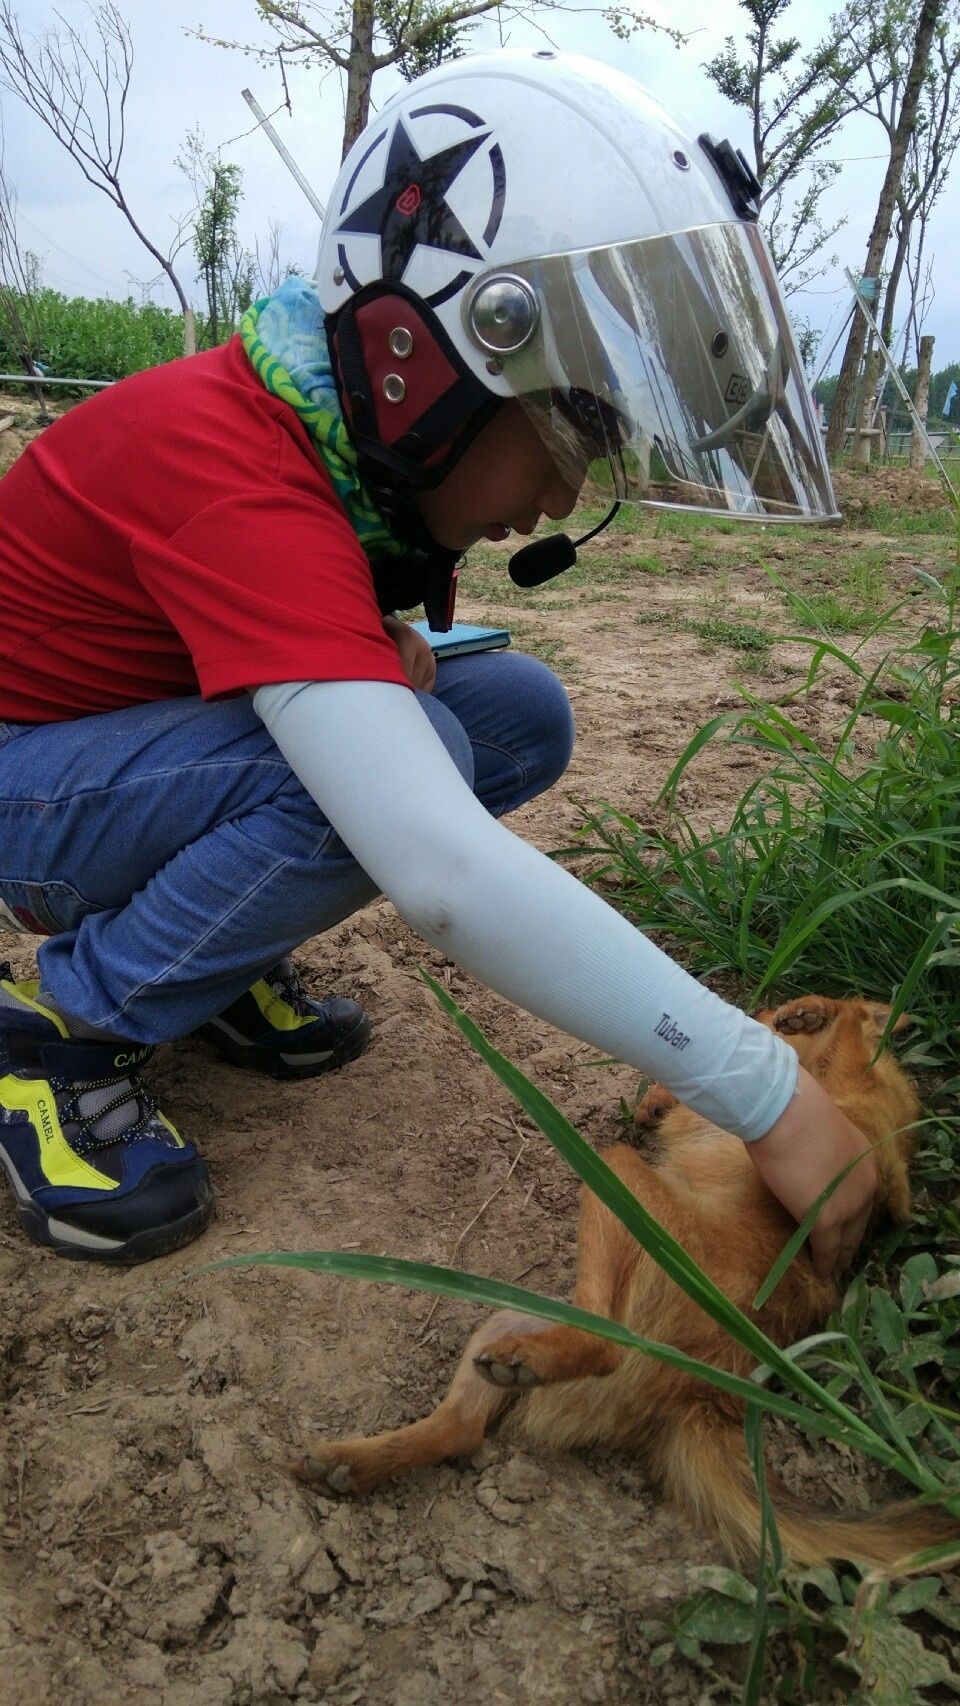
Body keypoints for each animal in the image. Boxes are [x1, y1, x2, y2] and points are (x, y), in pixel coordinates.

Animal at [292, 995, 959, 1566]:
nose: (766, 1020)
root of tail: (705, 1391)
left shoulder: (879, 1155)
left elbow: (858, 1071)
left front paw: (812, 1016)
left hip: (618, 1183)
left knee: (600, 1348)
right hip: (511, 1314)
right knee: (464, 1428)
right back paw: (358, 1461)